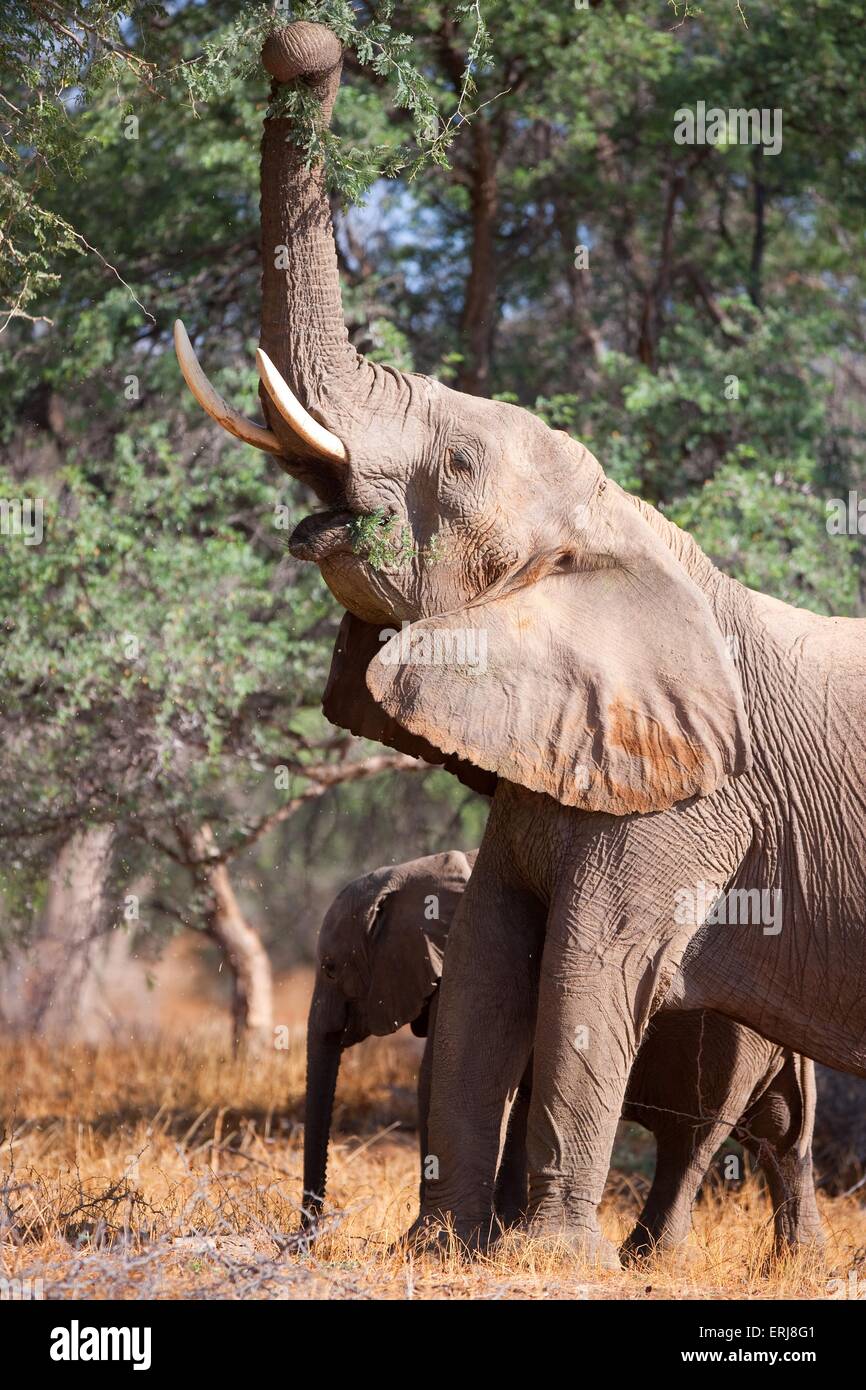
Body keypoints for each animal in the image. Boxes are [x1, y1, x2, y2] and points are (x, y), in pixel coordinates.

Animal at [303, 851, 822, 1257]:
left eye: (329, 968)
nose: (307, 1239)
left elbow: (438, 1082)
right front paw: (501, 1235)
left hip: (727, 1050)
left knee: (691, 1142)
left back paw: (646, 1260)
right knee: (781, 1141)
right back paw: (799, 1266)